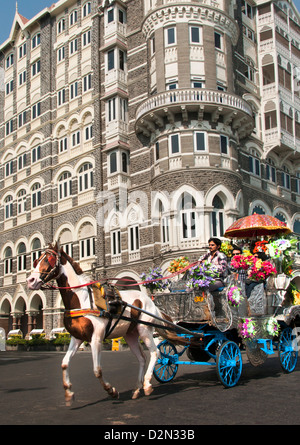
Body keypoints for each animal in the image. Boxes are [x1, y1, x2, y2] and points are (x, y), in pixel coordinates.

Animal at [27, 243, 178, 402]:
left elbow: (97, 370)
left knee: (155, 352)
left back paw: (147, 384)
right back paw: (137, 388)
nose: (30, 280)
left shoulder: (96, 338)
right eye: (36, 260)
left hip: (145, 330)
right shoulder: (77, 338)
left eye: (48, 259)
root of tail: (150, 301)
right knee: (142, 358)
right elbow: (64, 363)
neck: (82, 299)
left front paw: (111, 390)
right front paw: (68, 392)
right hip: (130, 334)